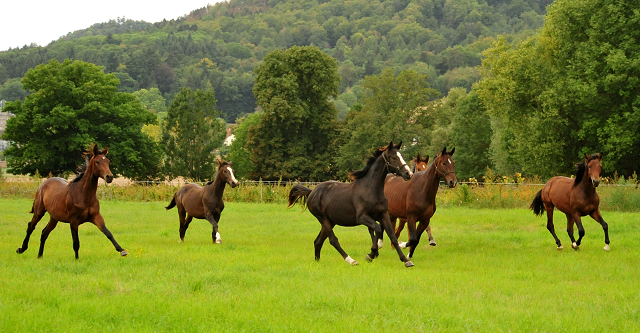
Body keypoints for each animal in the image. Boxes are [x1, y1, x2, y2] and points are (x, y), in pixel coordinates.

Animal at [288, 141, 416, 266]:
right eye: (394, 157)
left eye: (402, 156)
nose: (408, 174)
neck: (370, 189)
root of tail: (312, 192)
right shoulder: (362, 217)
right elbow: (377, 229)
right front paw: (371, 254)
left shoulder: (383, 215)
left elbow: (392, 236)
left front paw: (406, 260)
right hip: (322, 218)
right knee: (333, 240)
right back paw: (351, 260)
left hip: (330, 221)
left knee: (318, 241)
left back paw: (317, 262)